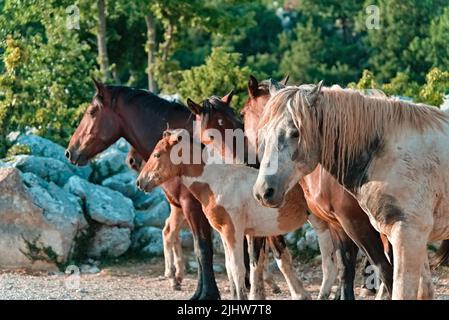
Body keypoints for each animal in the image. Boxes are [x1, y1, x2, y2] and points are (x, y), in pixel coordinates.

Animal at [136, 128, 312, 300]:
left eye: (157, 154)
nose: (140, 182)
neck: (218, 182)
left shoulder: (233, 231)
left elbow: (237, 269)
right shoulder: (223, 231)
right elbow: (229, 269)